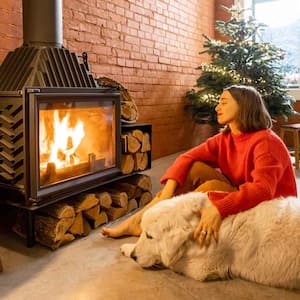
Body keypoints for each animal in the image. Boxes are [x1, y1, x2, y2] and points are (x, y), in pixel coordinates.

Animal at [120, 192, 300, 288]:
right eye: (144, 233)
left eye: (150, 236)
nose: (134, 256)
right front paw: (128, 247)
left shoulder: (201, 267)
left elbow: (171, 261)